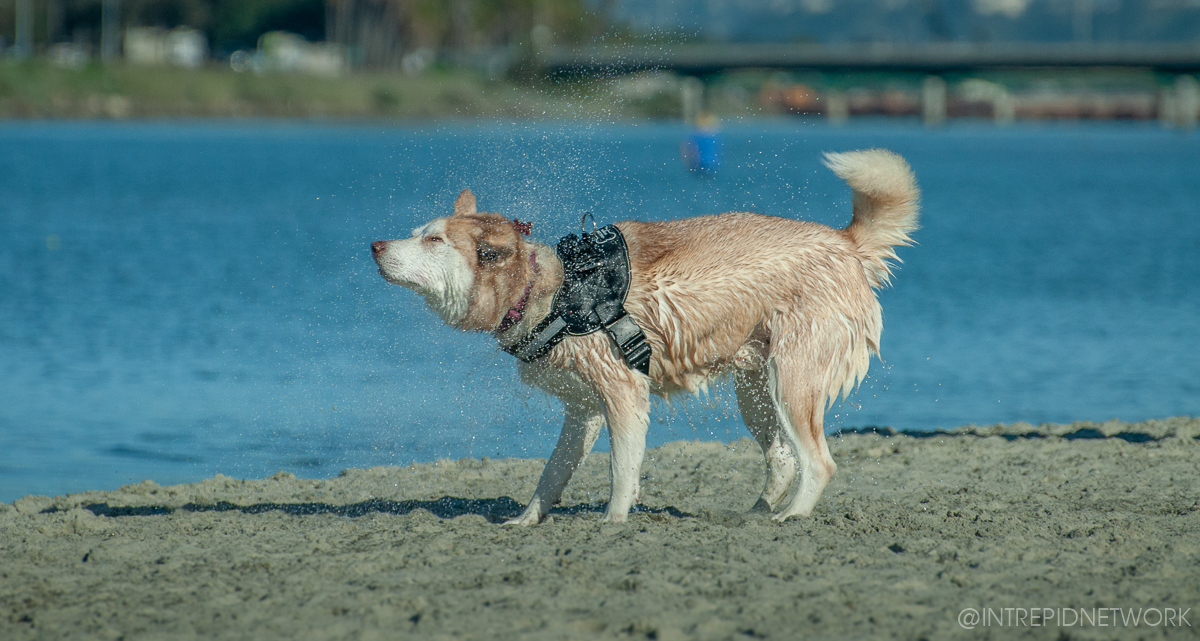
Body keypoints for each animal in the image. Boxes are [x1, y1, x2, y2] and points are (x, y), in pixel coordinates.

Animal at [372, 149, 916, 528]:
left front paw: (613, 521)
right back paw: (757, 513)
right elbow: (551, 474)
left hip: (792, 380)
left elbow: (622, 469)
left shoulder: (625, 395)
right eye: (418, 232)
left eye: (434, 241)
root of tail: (845, 242)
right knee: (782, 457)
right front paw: (526, 520)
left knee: (818, 462)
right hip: (756, 390)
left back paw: (792, 516)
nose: (375, 245)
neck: (553, 292)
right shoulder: (583, 411)